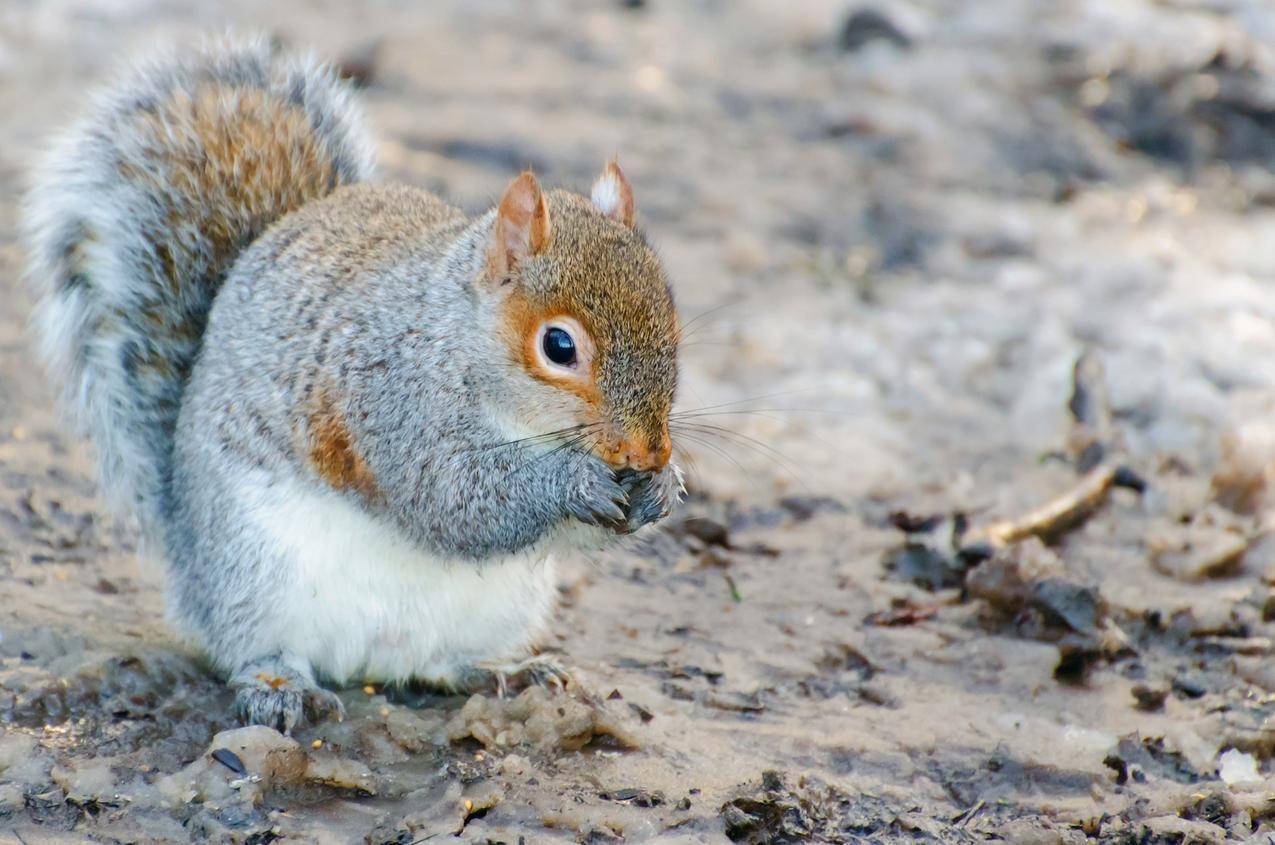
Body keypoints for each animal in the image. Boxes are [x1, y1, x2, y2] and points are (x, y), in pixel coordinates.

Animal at [24, 36, 683, 729]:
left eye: (672, 314)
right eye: (559, 347)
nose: (649, 451)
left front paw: (662, 488)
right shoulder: (387, 393)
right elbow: (452, 496)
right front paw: (575, 481)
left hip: (505, 603)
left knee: (442, 665)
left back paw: (504, 670)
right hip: (257, 574)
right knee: (256, 647)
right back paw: (278, 685)